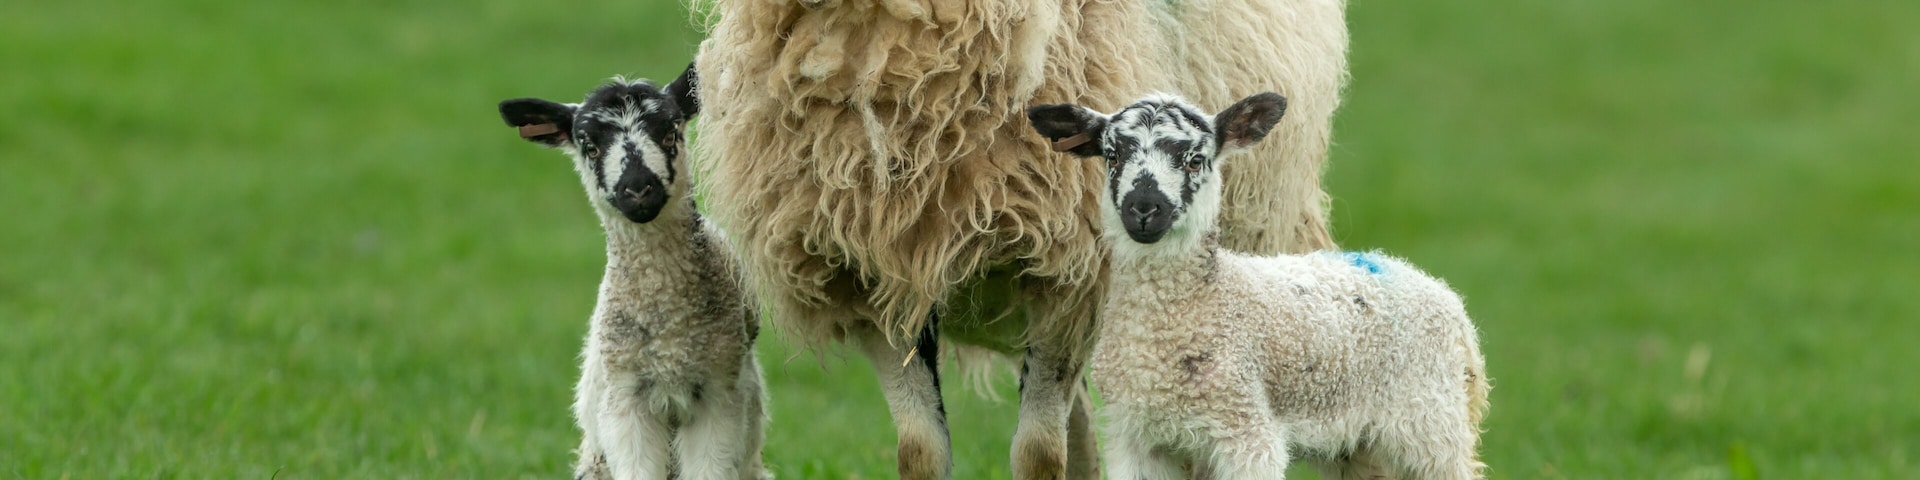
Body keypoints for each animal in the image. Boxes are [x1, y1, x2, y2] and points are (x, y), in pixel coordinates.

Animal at [1027, 92, 1490, 479]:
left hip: (1432, 424)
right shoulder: (1137, 437)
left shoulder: (1246, 431)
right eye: (1112, 155)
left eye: (1195, 160)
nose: (1143, 209)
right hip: (1360, 446)